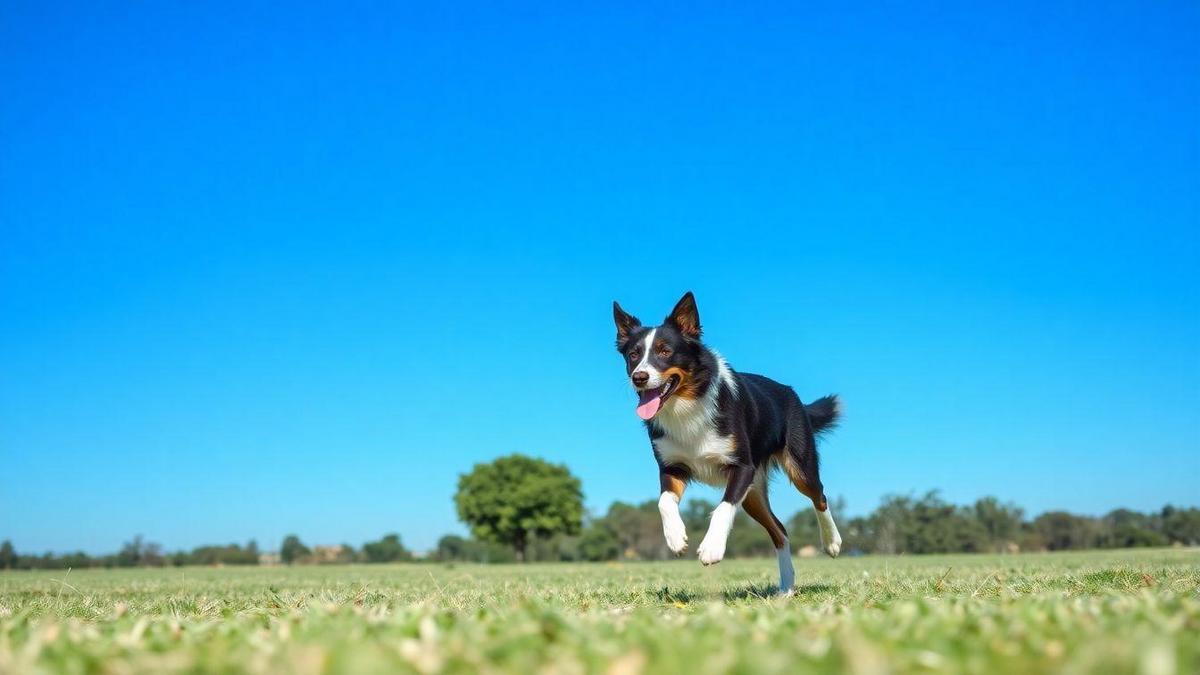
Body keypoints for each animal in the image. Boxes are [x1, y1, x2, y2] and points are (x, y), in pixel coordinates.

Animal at [614, 289, 840, 588]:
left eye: (665, 351)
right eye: (634, 355)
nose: (639, 377)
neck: (687, 406)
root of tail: (793, 395)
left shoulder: (742, 467)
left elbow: (723, 507)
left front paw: (711, 548)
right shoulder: (672, 467)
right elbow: (663, 501)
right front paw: (676, 538)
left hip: (798, 465)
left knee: (820, 496)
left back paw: (832, 543)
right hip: (754, 495)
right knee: (780, 531)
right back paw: (786, 587)